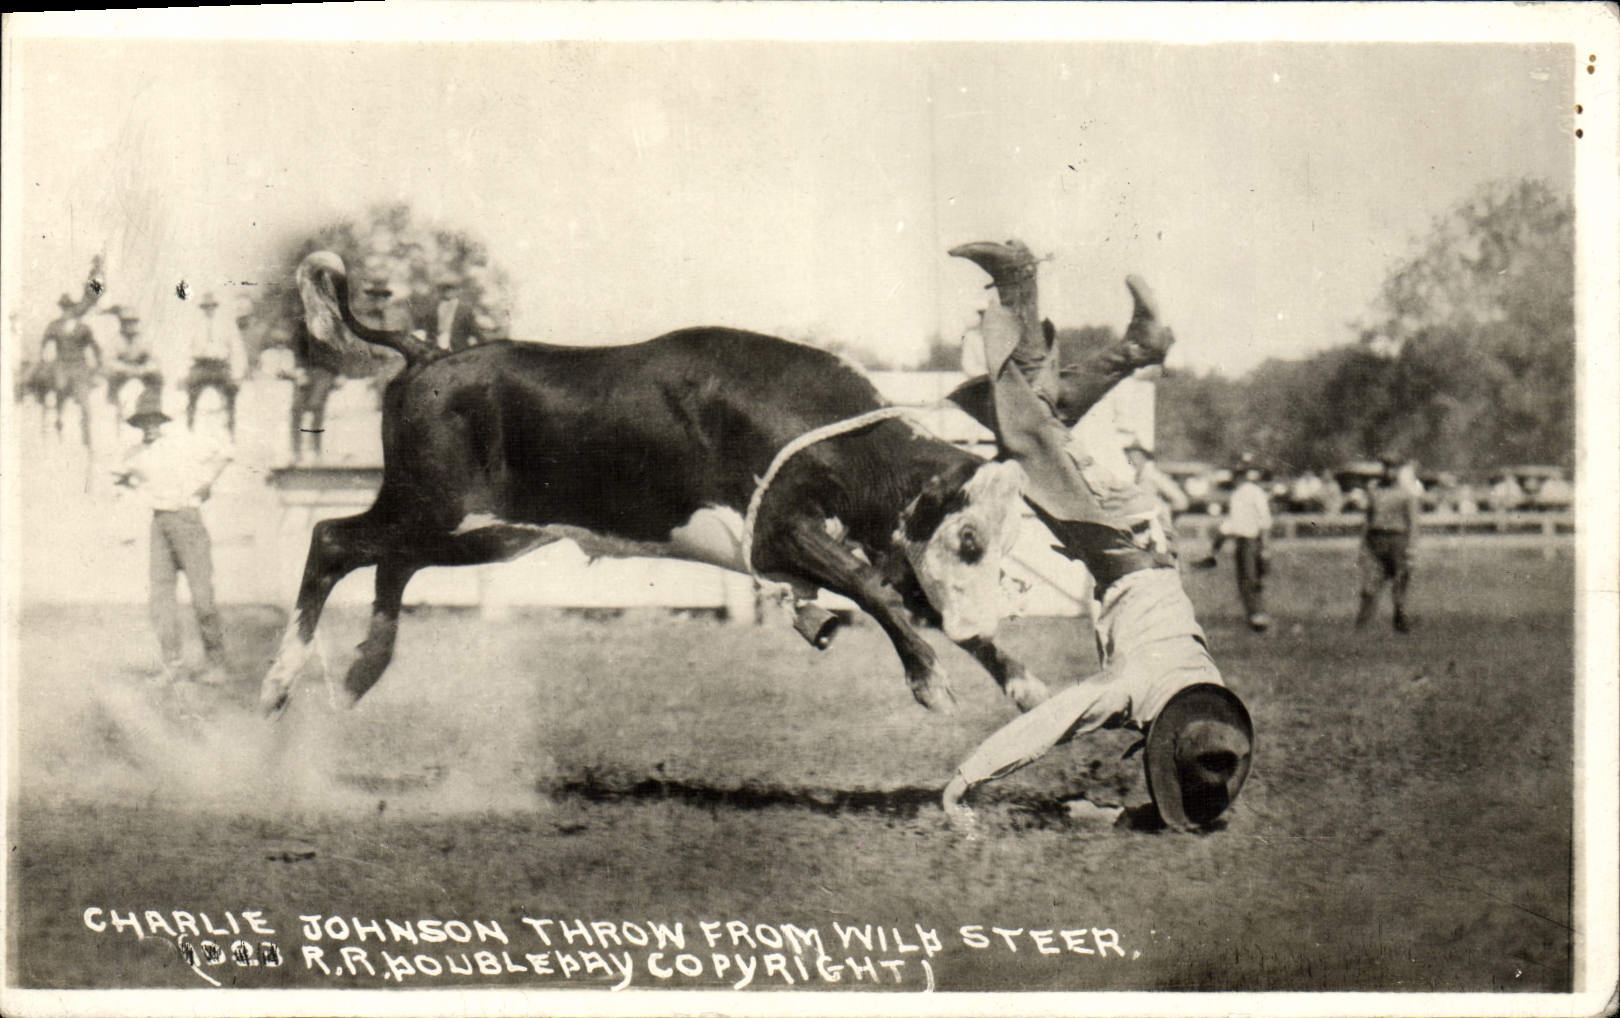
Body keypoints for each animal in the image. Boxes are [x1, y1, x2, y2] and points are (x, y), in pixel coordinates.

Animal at [259, 251, 1049, 718]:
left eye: (1009, 543)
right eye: (969, 537)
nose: (974, 622)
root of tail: (427, 353)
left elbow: (893, 592)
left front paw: (1024, 682)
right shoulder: (778, 533)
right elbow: (873, 588)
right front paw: (932, 680)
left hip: (482, 532)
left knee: (390, 564)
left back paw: (360, 673)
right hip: (432, 507)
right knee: (333, 540)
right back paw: (277, 684)